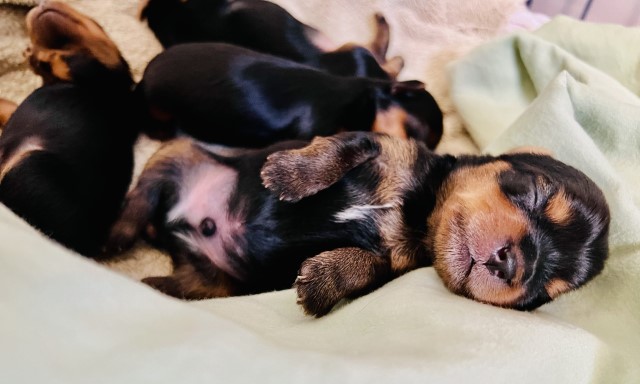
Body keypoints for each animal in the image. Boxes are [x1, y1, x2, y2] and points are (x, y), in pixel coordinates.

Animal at [0, 2, 140, 258]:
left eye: (97, 23)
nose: (40, 5)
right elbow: (9, 105)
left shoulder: (91, 69)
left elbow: (62, 59)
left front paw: (36, 55)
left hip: (28, 163)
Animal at [109, 132, 608, 316]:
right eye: (536, 193)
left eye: (542, 291)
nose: (513, 265)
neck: (417, 212)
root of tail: (172, 233)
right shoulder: (385, 143)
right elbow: (344, 146)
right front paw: (289, 175)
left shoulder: (396, 265)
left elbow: (368, 267)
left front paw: (323, 281)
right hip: (179, 151)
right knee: (140, 195)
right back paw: (112, 238)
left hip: (212, 284)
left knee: (172, 285)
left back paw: (137, 280)